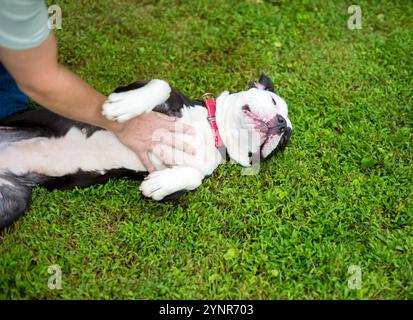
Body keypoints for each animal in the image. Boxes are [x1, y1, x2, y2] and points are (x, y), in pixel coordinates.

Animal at [0, 74, 290, 230]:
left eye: (284, 140)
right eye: (273, 101)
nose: (281, 124)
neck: (212, 130)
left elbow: (192, 178)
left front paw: (158, 185)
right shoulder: (139, 89)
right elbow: (161, 84)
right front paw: (124, 106)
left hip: (13, 203)